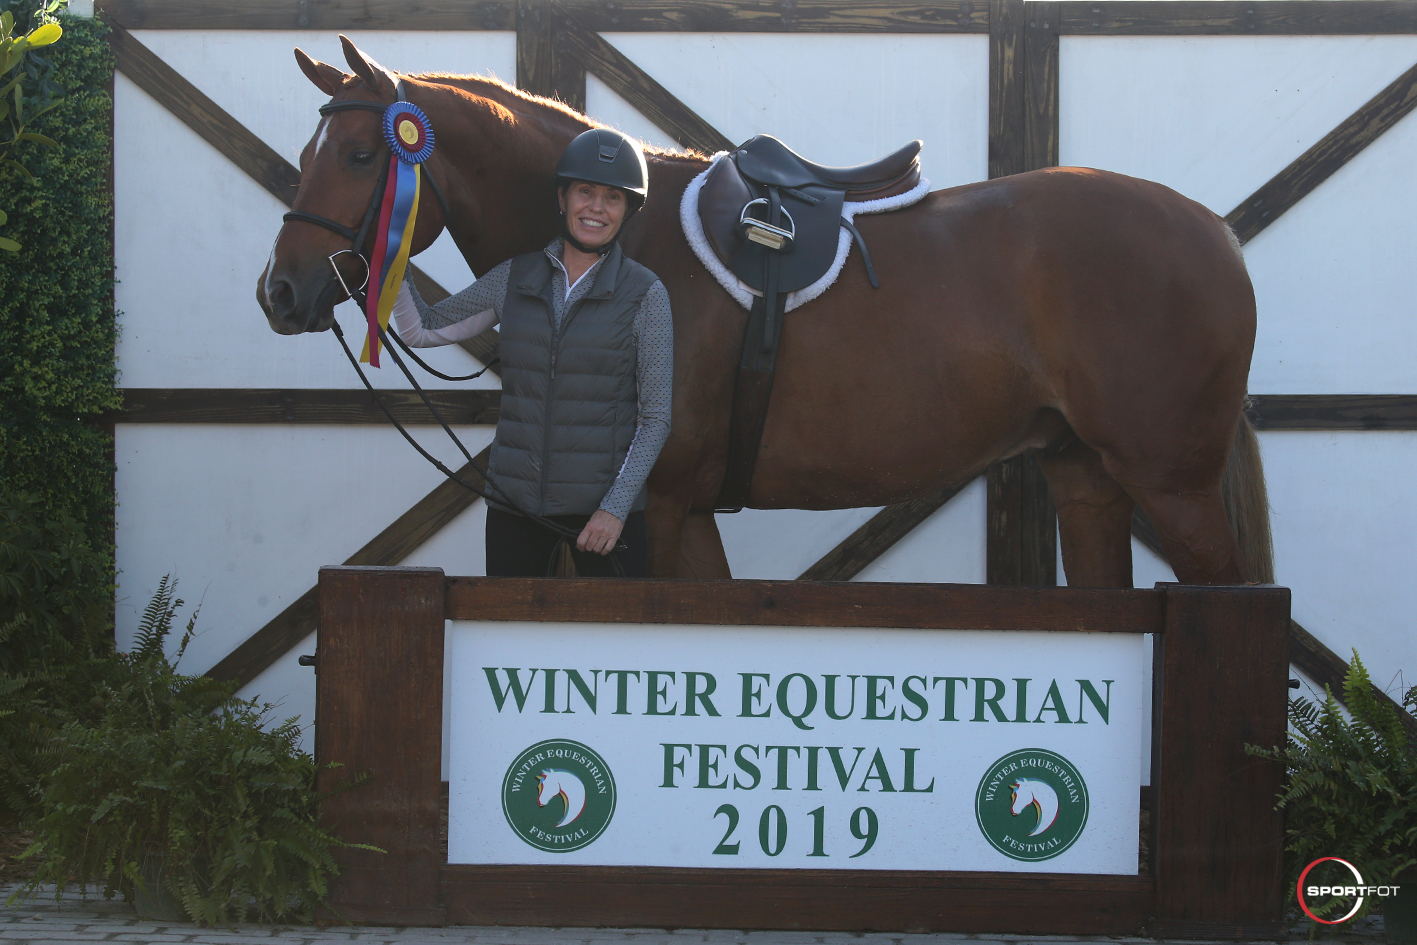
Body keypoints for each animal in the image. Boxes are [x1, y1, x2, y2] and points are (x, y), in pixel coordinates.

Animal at [255, 40, 1275, 586]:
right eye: (311, 152)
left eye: (360, 155)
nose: (282, 291)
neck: (629, 235)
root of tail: (1214, 233)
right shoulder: (691, 512)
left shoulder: (657, 509)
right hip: (1085, 478)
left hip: (1172, 486)